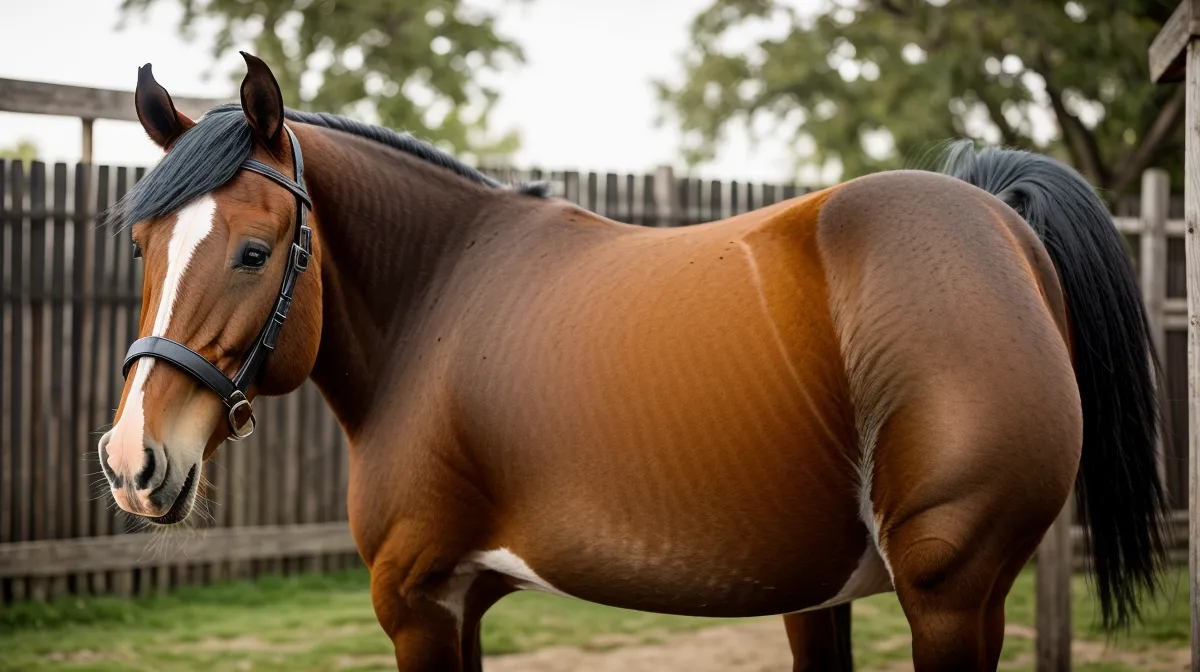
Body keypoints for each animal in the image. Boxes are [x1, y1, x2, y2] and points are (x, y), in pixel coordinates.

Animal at [97, 53, 1167, 671]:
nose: (132, 461)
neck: (437, 300)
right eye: (143, 245)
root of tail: (1001, 221)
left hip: (949, 595)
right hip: (833, 598)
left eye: (253, 251)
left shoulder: (418, 601)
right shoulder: (459, 600)